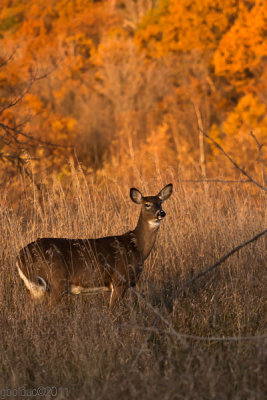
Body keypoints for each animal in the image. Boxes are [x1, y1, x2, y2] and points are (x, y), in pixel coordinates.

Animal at [16, 183, 174, 308]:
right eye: (147, 204)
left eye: (161, 202)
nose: (161, 213)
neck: (136, 247)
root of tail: (20, 256)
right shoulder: (119, 279)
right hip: (56, 279)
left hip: (35, 287)